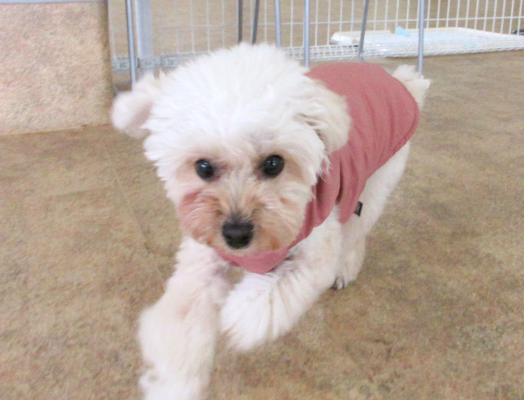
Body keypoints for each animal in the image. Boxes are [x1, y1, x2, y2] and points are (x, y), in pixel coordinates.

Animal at [111, 43, 430, 400]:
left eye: (274, 163)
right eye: (203, 167)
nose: (236, 235)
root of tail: (400, 81)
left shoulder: (313, 251)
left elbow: (267, 298)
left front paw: (237, 316)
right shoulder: (202, 264)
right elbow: (180, 329)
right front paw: (174, 384)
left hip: (374, 183)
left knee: (355, 234)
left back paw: (344, 270)